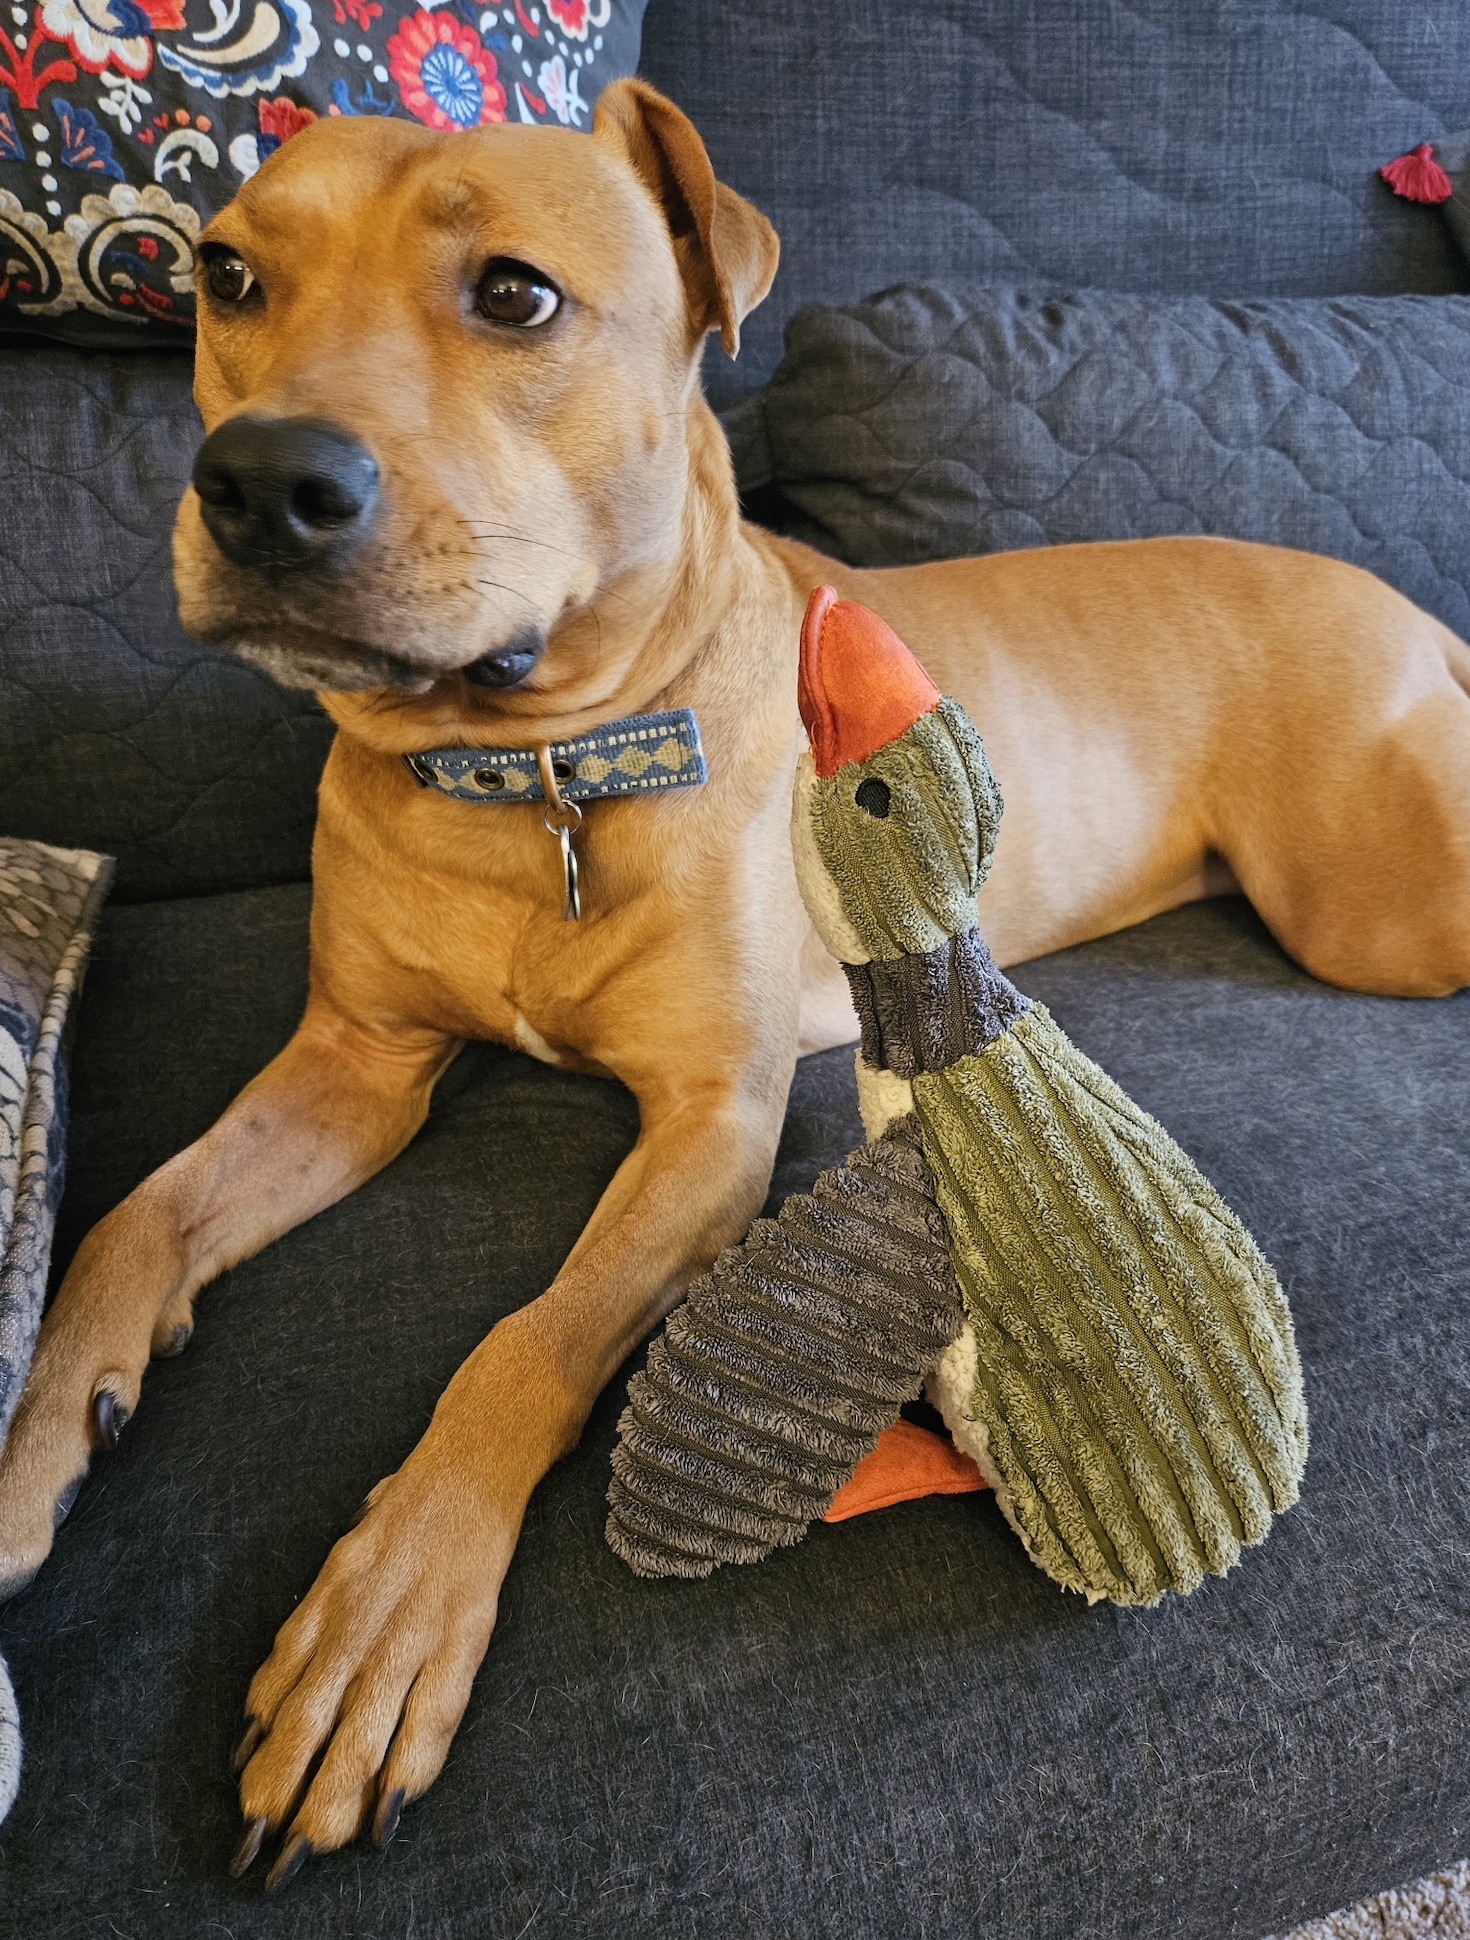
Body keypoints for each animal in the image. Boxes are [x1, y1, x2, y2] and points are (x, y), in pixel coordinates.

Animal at [2, 83, 1470, 1885]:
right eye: (223, 277)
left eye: (516, 296)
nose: (259, 481)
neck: (535, 773)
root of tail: (1399, 601)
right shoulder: (354, 1062)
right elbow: (135, 1216)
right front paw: (37, 1437)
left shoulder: (713, 1124)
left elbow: (532, 1338)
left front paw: (386, 1625)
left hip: (1376, 908)